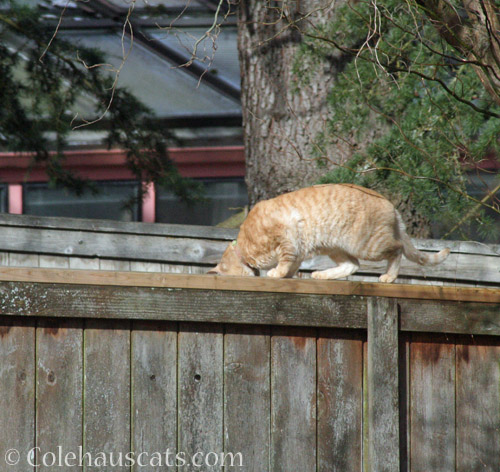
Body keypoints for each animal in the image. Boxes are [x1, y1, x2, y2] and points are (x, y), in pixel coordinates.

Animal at [209, 183, 452, 280]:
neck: (243, 246)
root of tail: (390, 203)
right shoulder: (297, 249)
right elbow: (292, 265)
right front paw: (286, 275)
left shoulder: (286, 238)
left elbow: (284, 261)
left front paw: (276, 273)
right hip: (335, 248)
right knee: (352, 266)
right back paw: (322, 274)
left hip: (368, 246)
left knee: (398, 249)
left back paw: (389, 277)